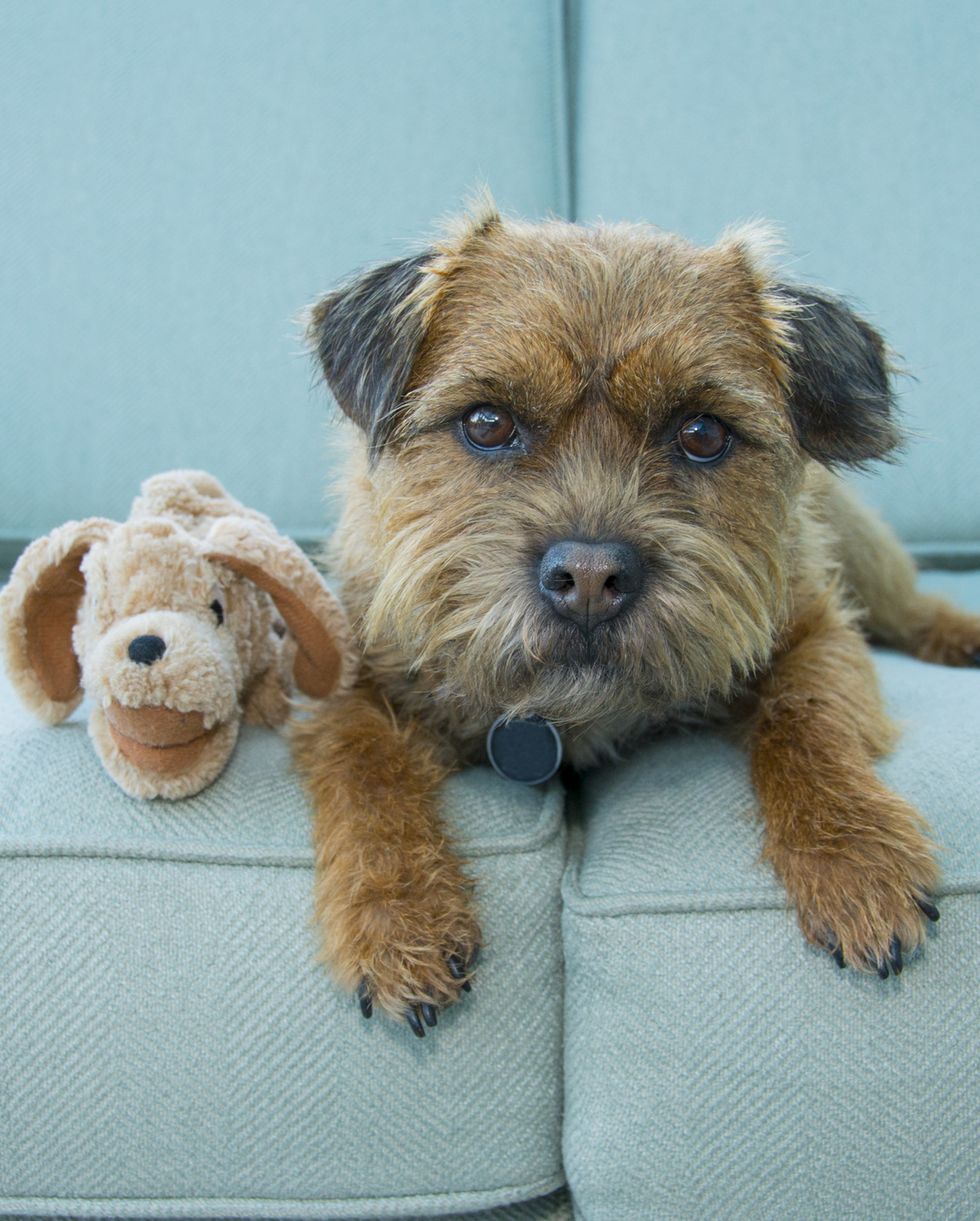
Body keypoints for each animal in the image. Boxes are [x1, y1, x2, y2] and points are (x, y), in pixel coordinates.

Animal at [292, 202, 980, 1040]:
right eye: (486, 422)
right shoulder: (345, 687)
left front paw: (853, 854)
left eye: (703, 433)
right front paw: (397, 917)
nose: (590, 577)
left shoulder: (818, 628)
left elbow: (806, 717)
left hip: (862, 547)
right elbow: (365, 770)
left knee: (913, 608)